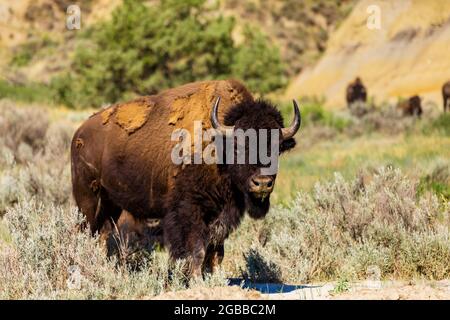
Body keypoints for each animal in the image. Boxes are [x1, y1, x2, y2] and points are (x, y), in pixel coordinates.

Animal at [71, 79, 302, 276]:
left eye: (277, 147)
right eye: (238, 146)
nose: (262, 184)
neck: (218, 146)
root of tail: (79, 133)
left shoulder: (222, 215)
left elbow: (216, 253)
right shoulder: (189, 211)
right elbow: (197, 251)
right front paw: (196, 279)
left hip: (111, 204)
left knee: (103, 235)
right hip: (88, 200)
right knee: (84, 232)